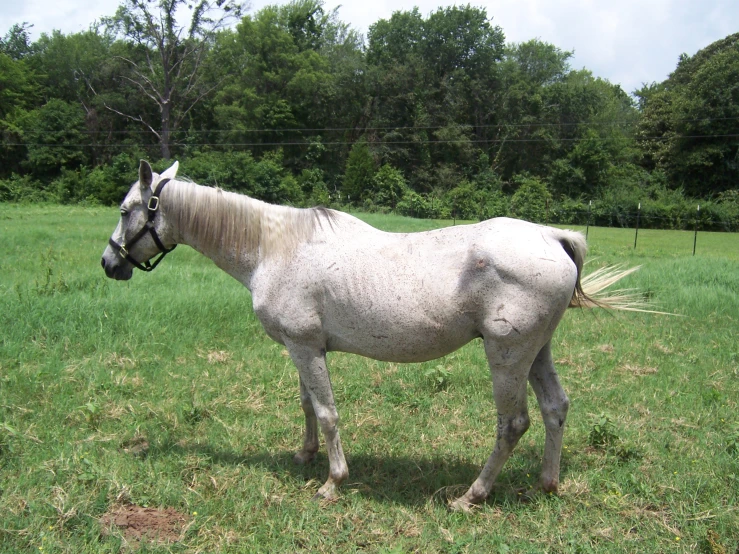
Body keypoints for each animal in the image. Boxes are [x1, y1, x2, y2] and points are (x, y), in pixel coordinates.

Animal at [99, 160, 640, 508]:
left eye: (126, 210)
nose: (108, 263)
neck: (276, 248)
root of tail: (551, 235)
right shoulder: (304, 348)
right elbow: (307, 405)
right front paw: (305, 455)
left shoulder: (304, 347)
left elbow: (327, 412)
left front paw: (332, 482)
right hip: (536, 352)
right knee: (555, 408)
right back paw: (548, 483)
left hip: (507, 357)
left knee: (513, 425)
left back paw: (471, 496)